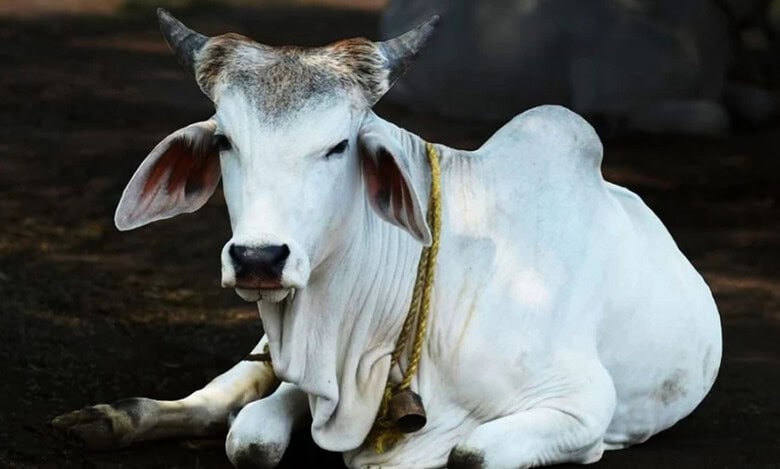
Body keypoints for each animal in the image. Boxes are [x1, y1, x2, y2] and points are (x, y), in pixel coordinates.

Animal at [53, 9, 723, 469]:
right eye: (223, 141)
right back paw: (108, 420)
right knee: (221, 396)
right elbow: (250, 438)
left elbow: (470, 453)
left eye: (339, 145)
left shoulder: (582, 406)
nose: (258, 258)